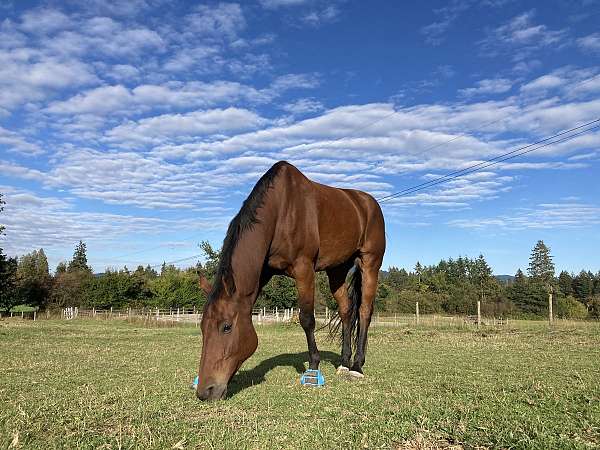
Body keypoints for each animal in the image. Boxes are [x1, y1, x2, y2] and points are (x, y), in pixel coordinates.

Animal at [196, 161, 384, 400]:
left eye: (226, 327)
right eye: (202, 327)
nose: (205, 391)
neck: (281, 211)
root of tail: (367, 203)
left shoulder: (304, 269)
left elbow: (307, 319)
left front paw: (313, 368)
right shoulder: (265, 272)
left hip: (370, 263)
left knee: (364, 311)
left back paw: (357, 366)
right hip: (337, 271)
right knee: (347, 311)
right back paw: (344, 363)